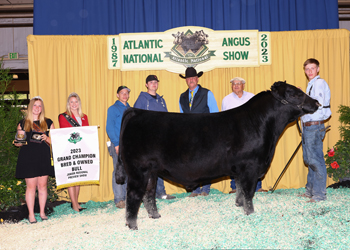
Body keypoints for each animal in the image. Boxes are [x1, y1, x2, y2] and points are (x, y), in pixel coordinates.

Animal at [115, 81, 320, 229]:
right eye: (295, 93)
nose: (317, 103)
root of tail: (136, 112)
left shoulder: (240, 169)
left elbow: (240, 189)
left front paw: (239, 206)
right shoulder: (251, 166)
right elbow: (249, 191)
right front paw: (250, 213)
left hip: (151, 172)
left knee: (148, 194)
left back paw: (155, 216)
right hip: (138, 170)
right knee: (133, 195)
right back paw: (132, 225)